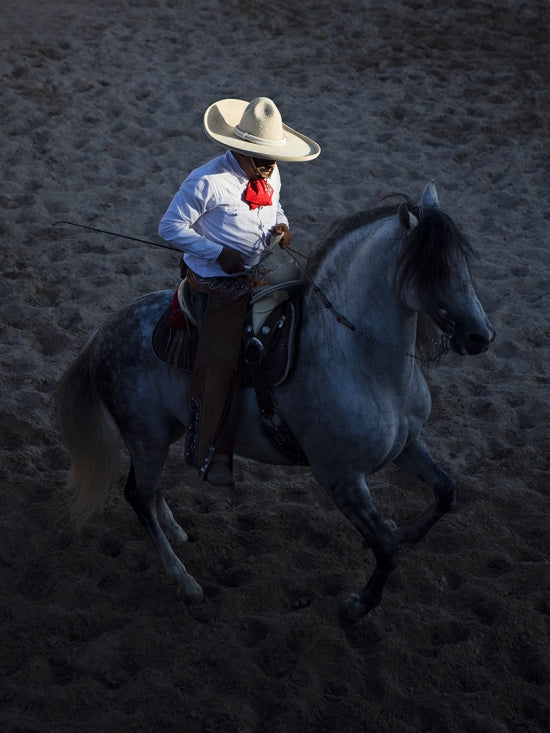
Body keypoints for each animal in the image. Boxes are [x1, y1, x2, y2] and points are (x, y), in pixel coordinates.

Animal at [55, 183, 496, 624]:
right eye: (433, 271)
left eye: (464, 264)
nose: (481, 336)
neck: (353, 353)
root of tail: (103, 333)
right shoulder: (340, 477)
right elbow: (386, 549)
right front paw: (357, 605)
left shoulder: (407, 445)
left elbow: (446, 492)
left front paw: (404, 531)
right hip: (145, 436)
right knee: (137, 496)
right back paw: (186, 583)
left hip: (167, 431)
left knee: (149, 489)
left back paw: (176, 531)